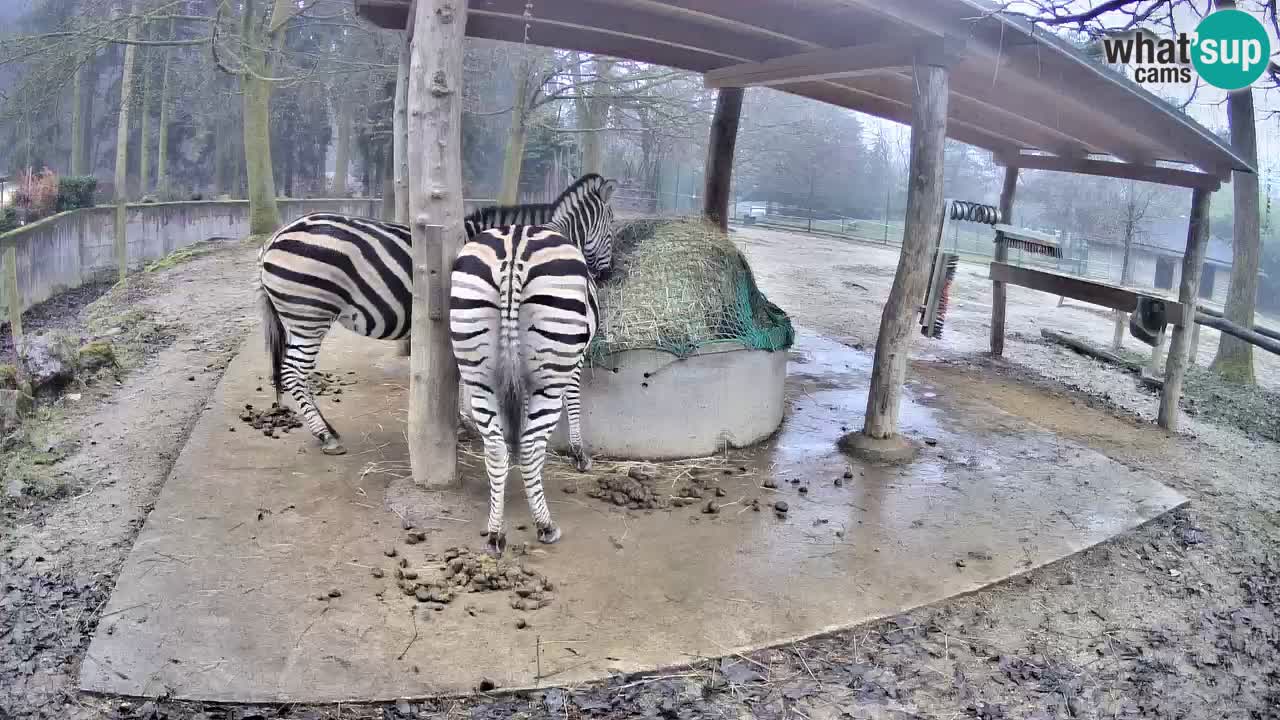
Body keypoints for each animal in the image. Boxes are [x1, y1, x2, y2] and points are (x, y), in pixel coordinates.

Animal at [256, 173, 617, 459]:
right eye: (612, 230)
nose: (608, 276)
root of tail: (273, 237)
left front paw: (466, 422)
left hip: (297, 318)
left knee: (294, 373)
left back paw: (327, 429)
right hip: (309, 316)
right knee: (293, 373)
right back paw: (325, 435)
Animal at [450, 223, 600, 557]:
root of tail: (514, 245)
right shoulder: (576, 359)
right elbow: (573, 400)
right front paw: (579, 453)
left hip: (478, 369)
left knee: (494, 448)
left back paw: (495, 533)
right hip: (550, 373)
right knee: (532, 445)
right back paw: (545, 525)